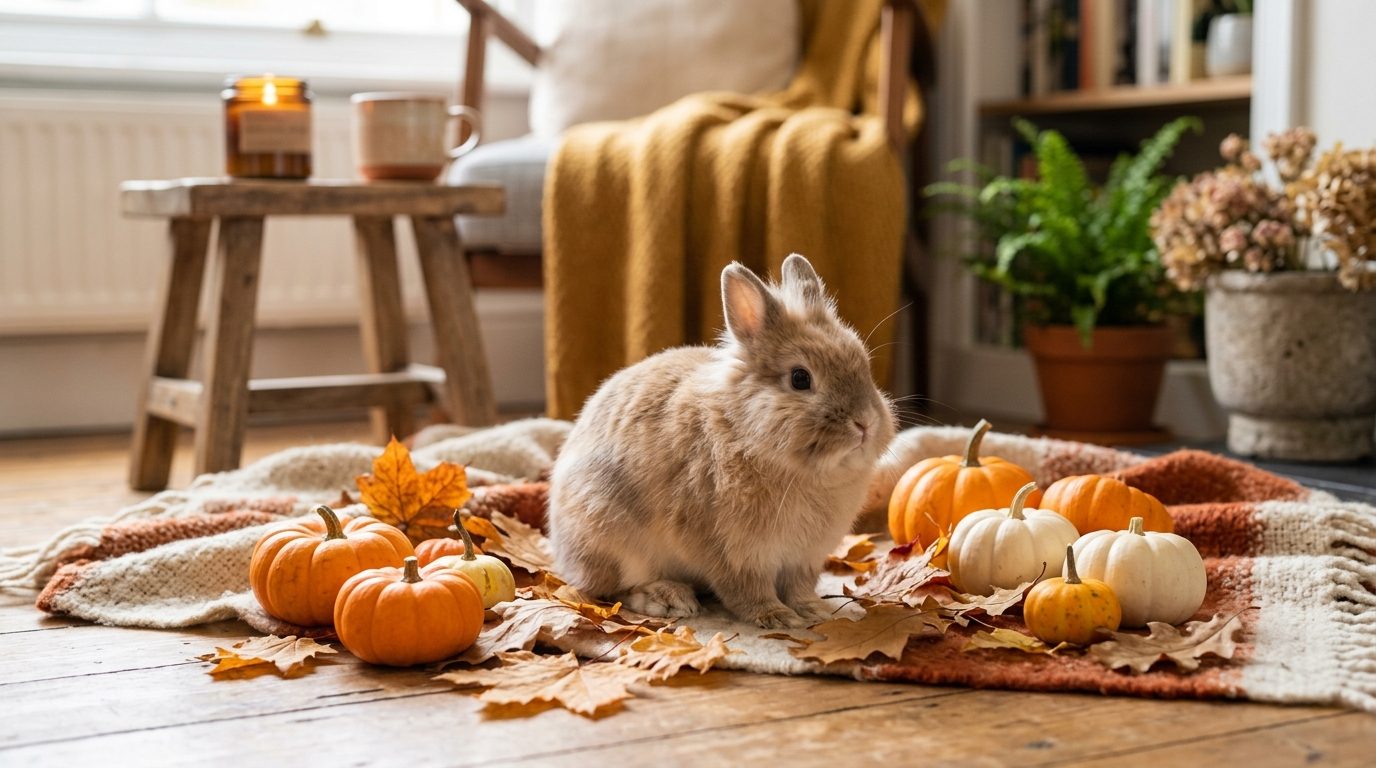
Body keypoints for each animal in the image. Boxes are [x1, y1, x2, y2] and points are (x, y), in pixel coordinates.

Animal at [546, 254, 897, 628]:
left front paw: (814, 610)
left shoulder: (803, 558)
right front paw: (777, 618)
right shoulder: (734, 552)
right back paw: (668, 599)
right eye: (800, 378)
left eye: (863, 365)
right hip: (611, 538)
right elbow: (747, 590)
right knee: (612, 590)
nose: (865, 423)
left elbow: (799, 587)